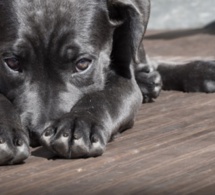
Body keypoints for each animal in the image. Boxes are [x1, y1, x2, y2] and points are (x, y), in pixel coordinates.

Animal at [0, 0, 214, 165]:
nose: (38, 132)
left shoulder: (125, 80)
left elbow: (104, 97)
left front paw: (78, 124)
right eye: (12, 62)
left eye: (82, 64)